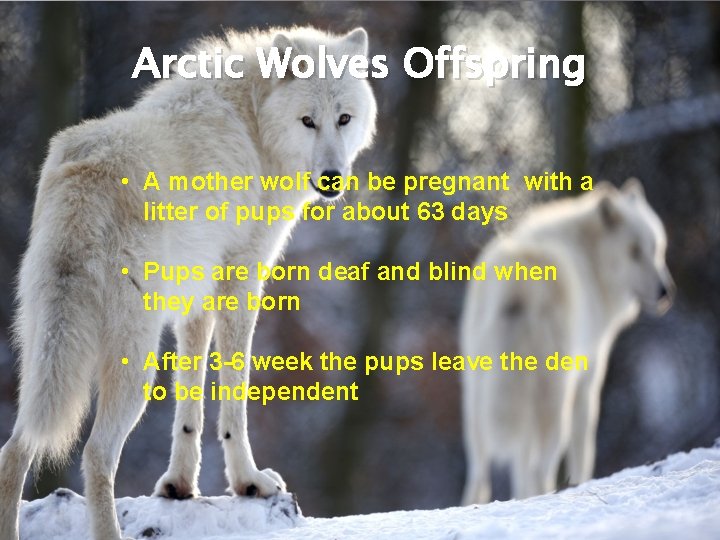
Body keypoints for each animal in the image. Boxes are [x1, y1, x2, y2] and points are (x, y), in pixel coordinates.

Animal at [0, 26, 376, 540]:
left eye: (343, 119)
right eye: (307, 121)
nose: (332, 179)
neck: (254, 121)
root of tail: (85, 182)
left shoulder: (196, 299)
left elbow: (190, 398)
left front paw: (178, 485)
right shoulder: (241, 280)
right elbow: (234, 394)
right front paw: (248, 482)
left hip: (44, 355)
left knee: (14, 450)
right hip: (134, 364)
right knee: (96, 454)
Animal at [460, 180, 674, 504]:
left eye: (657, 249)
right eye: (634, 252)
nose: (665, 292)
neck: (591, 259)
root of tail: (519, 283)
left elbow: (519, 464)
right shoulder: (588, 381)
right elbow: (583, 450)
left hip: (478, 402)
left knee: (480, 476)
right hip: (553, 401)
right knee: (539, 467)